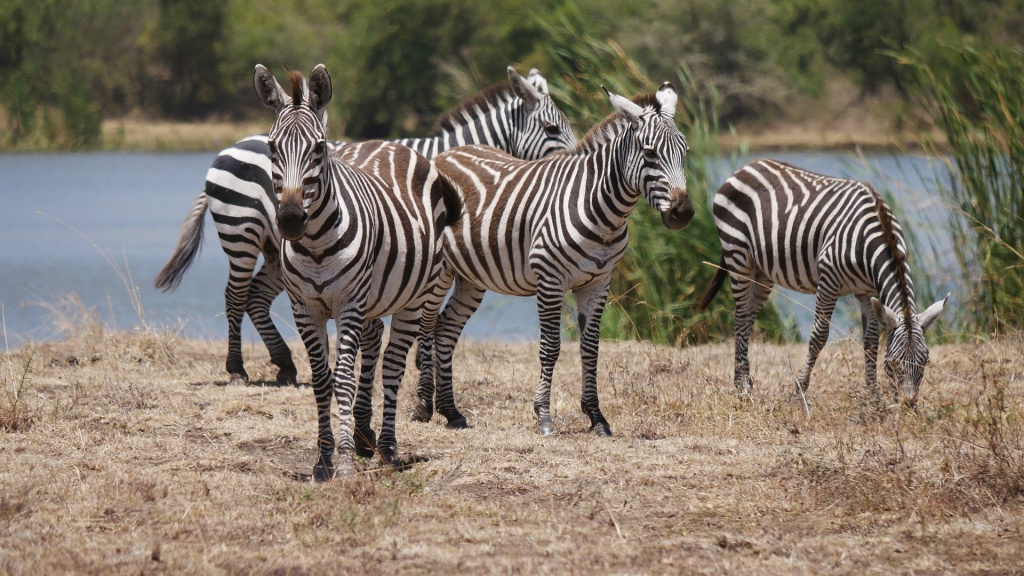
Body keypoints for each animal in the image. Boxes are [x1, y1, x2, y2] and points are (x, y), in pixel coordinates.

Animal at [155, 67, 581, 383]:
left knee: (256, 297)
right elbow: (423, 317)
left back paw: (286, 365)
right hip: (240, 232)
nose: (576, 161)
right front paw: (420, 368)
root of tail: (227, 148)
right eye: (552, 129)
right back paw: (237, 368)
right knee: (235, 295)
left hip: (277, 250)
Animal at [253, 62, 462, 477]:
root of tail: (393, 144)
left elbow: (345, 378)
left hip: (414, 297)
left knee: (393, 365)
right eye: (271, 147)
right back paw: (367, 434)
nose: (290, 220)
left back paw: (387, 448)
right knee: (374, 342)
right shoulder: (305, 308)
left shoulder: (349, 304)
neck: (316, 245)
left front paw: (346, 461)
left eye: (319, 148)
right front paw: (323, 459)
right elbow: (323, 380)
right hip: (375, 296)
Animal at [421, 79, 696, 430]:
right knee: (426, 326)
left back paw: (451, 412)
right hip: (439, 271)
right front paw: (543, 416)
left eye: (684, 153)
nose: (683, 213)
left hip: (470, 275)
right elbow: (551, 348)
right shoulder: (550, 280)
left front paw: (596, 417)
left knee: (445, 330)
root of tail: (444, 154)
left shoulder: (598, 283)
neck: (602, 210)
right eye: (649, 153)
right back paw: (422, 407)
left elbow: (590, 349)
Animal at [700, 156, 946, 403]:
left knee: (748, 318)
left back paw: (744, 382)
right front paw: (799, 390)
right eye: (894, 363)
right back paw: (743, 388)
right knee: (740, 317)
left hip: (762, 272)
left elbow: (871, 341)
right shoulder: (829, 280)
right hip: (738, 255)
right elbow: (819, 336)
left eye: (925, 362)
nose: (908, 403)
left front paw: (873, 395)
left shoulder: (869, 292)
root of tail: (748, 166)